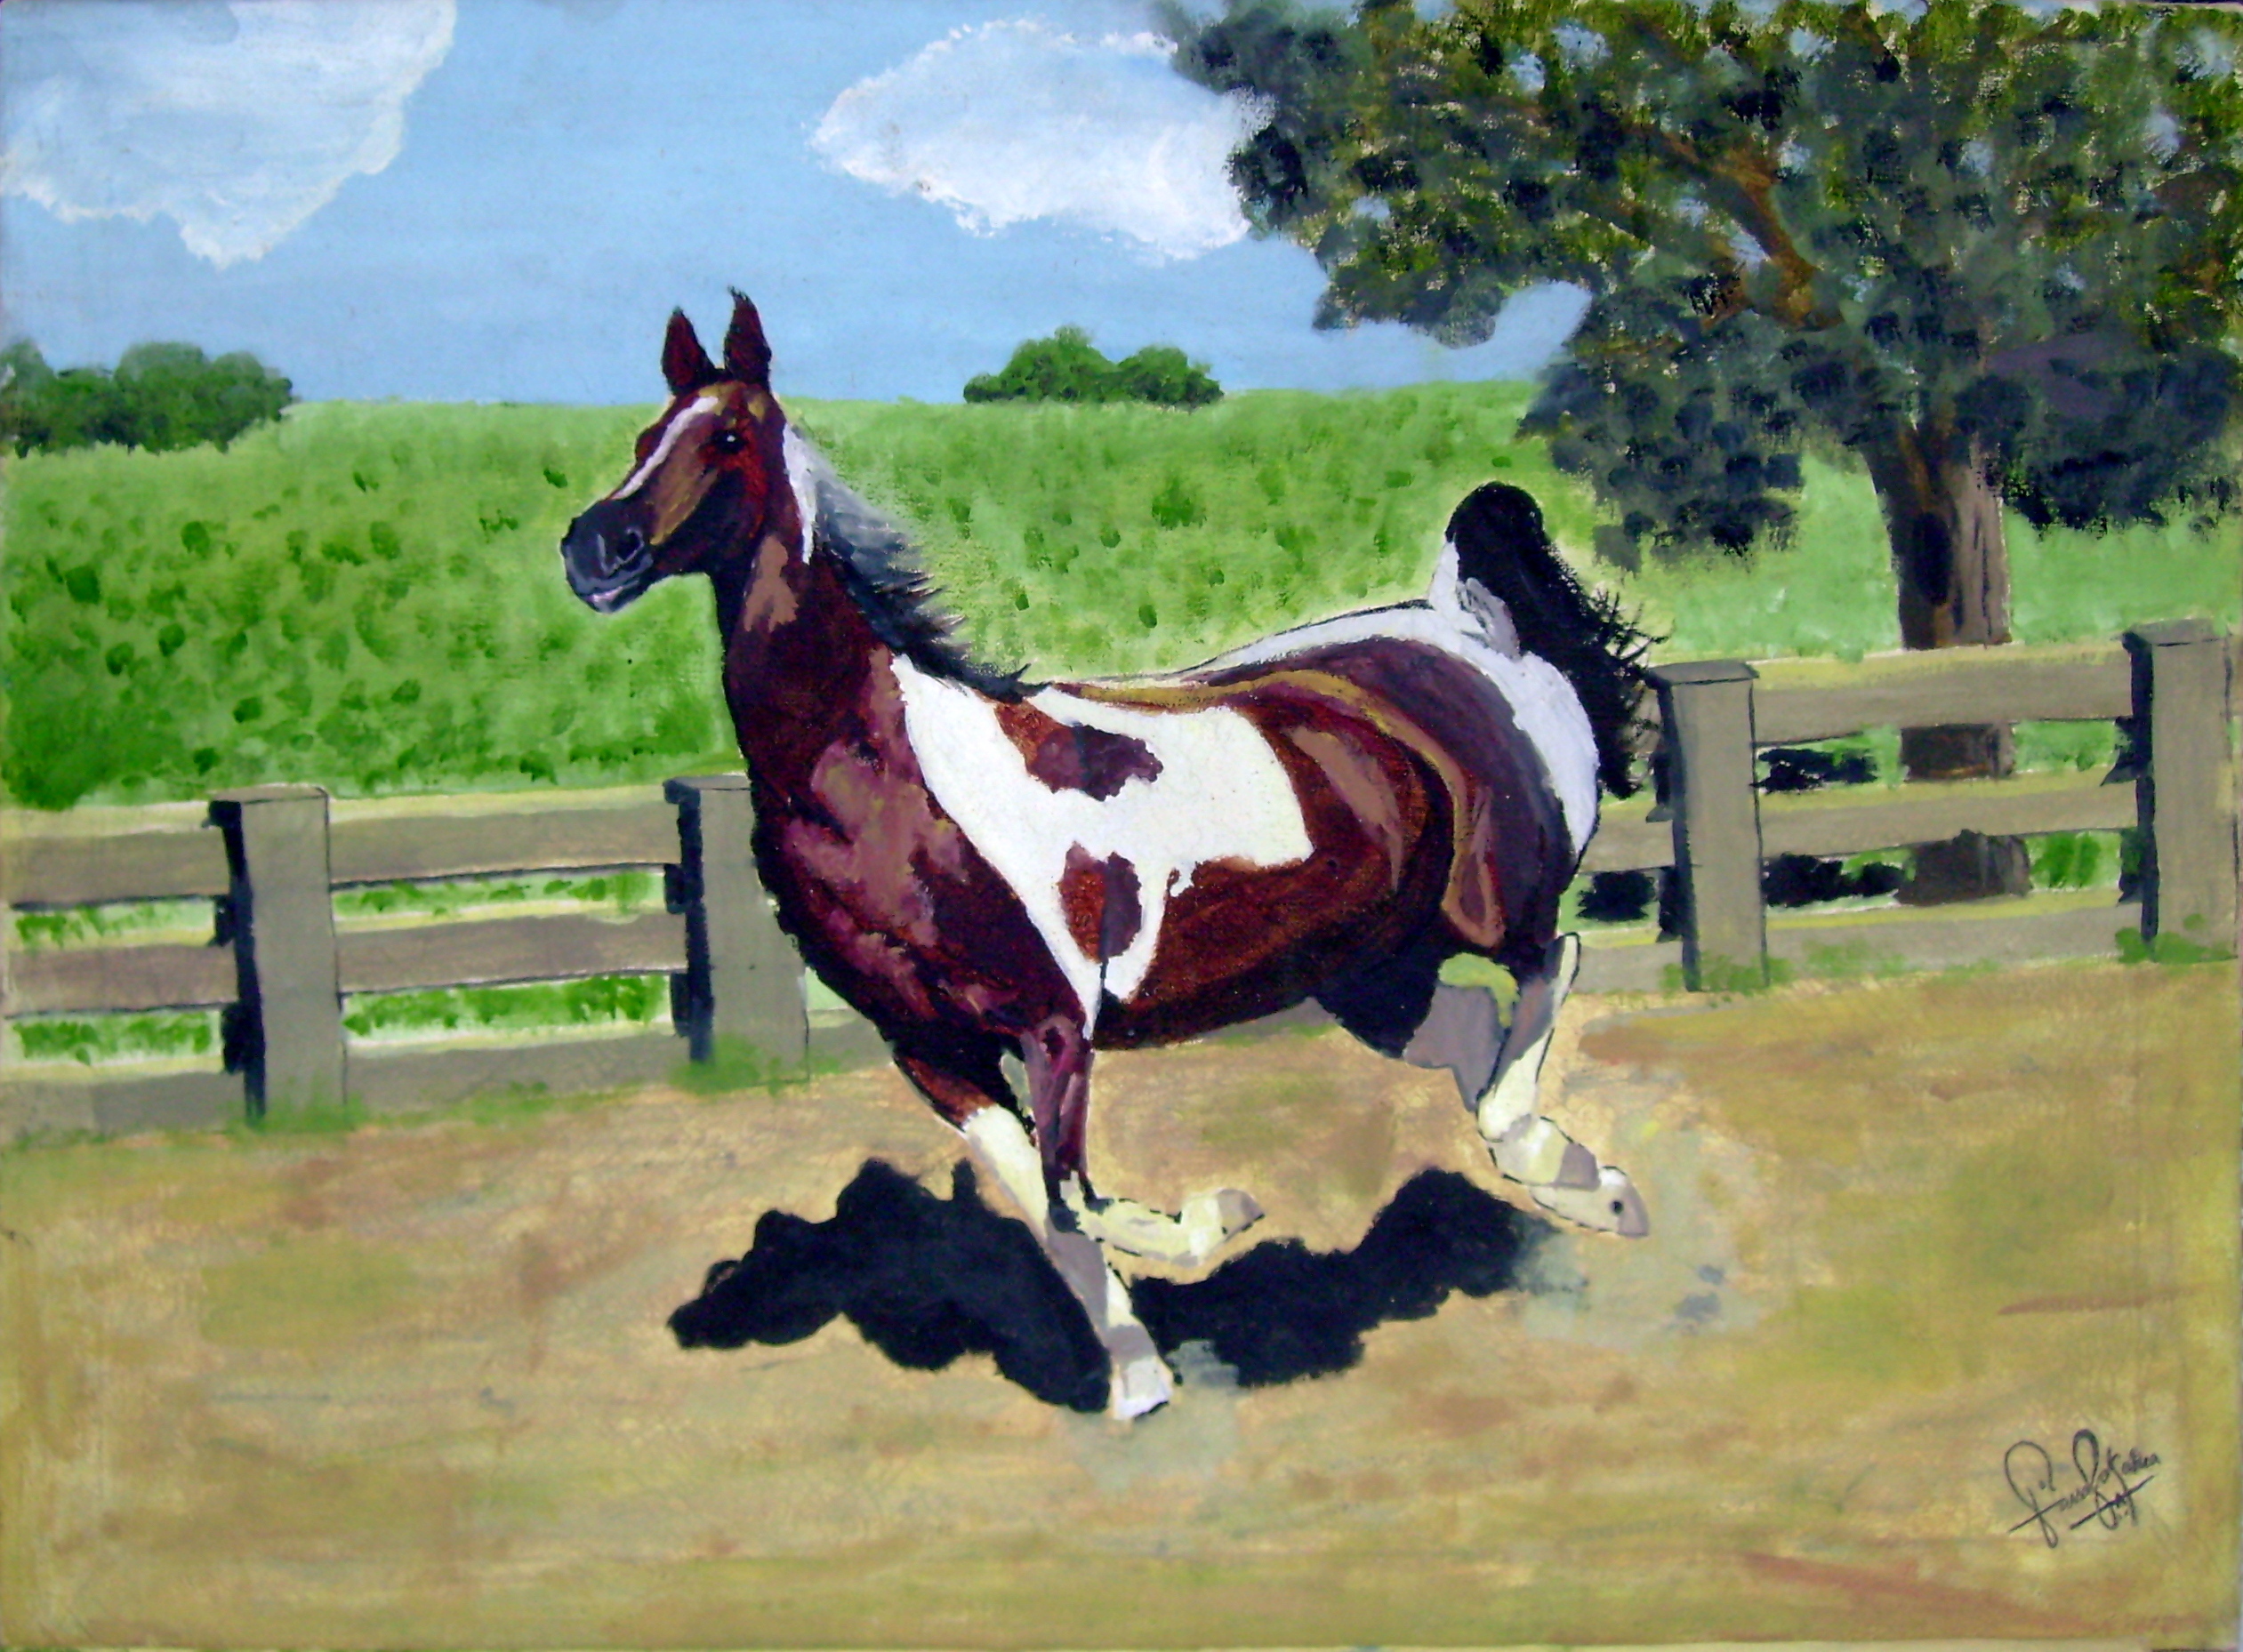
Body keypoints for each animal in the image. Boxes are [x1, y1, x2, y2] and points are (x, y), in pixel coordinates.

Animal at [561, 291, 1654, 1418]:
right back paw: (1582, 1181)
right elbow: (1043, 1210)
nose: (596, 546)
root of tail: (1466, 628)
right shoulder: (931, 1051)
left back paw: (1565, 1167)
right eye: (643, 439)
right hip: (1367, 970)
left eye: (726, 439)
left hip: (1488, 905)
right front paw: (1138, 1380)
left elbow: (1074, 1198)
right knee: (1470, 1025)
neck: (894, 783)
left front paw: (1222, 1213)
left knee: (1551, 964)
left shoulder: (1054, 1029)